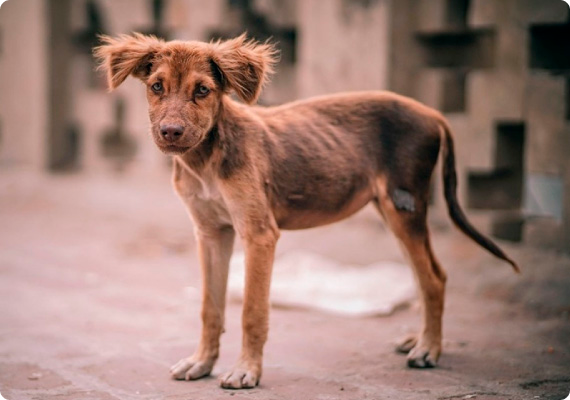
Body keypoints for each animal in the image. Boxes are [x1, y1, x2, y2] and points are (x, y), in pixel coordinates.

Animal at [95, 32, 516, 390]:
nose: (170, 132)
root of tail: (431, 112)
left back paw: (429, 348)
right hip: (392, 210)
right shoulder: (211, 233)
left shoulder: (259, 233)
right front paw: (201, 362)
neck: (207, 160)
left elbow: (252, 311)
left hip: (404, 205)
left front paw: (246, 370)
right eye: (156, 87)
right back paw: (419, 339)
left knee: (434, 277)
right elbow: (209, 308)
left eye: (202, 90)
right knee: (422, 273)